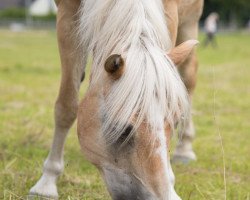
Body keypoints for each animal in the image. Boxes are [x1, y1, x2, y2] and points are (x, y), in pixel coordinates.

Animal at [29, 0, 203, 200]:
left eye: (174, 124)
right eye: (122, 130)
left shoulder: (171, 13)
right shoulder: (68, 13)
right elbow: (66, 106)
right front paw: (46, 184)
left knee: (188, 76)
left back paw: (185, 150)